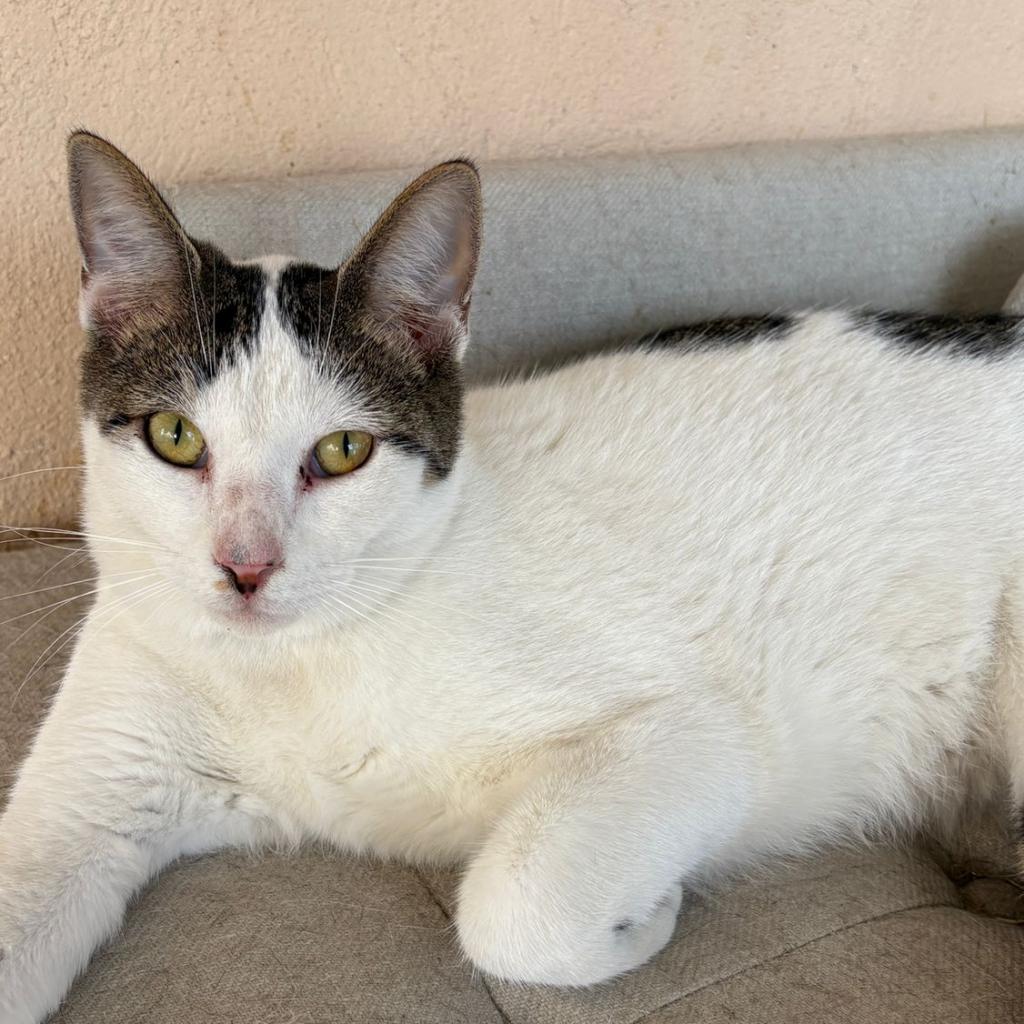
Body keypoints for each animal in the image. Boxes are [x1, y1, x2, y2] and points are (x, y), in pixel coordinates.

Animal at [2, 136, 1024, 1024]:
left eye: (342, 451)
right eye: (175, 437)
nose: (245, 566)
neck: (294, 669)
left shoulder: (697, 733)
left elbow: (510, 910)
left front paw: (644, 918)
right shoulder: (101, 765)